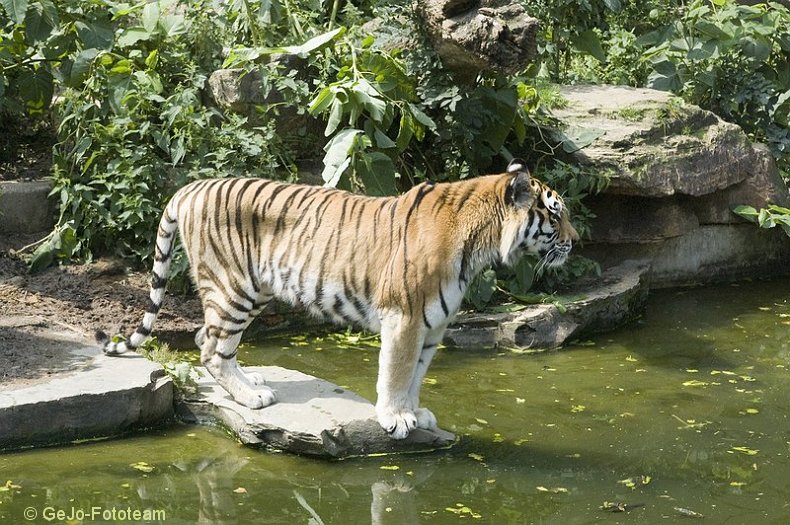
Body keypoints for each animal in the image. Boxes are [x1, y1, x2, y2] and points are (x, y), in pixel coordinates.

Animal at [96, 160, 580, 438]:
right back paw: (250, 398)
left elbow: (416, 375)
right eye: (555, 214)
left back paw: (251, 381)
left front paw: (415, 413)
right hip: (233, 286)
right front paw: (395, 418)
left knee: (207, 338)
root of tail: (190, 187)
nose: (576, 242)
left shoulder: (432, 325)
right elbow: (396, 372)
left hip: (252, 291)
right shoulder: (405, 317)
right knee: (211, 347)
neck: (482, 243)